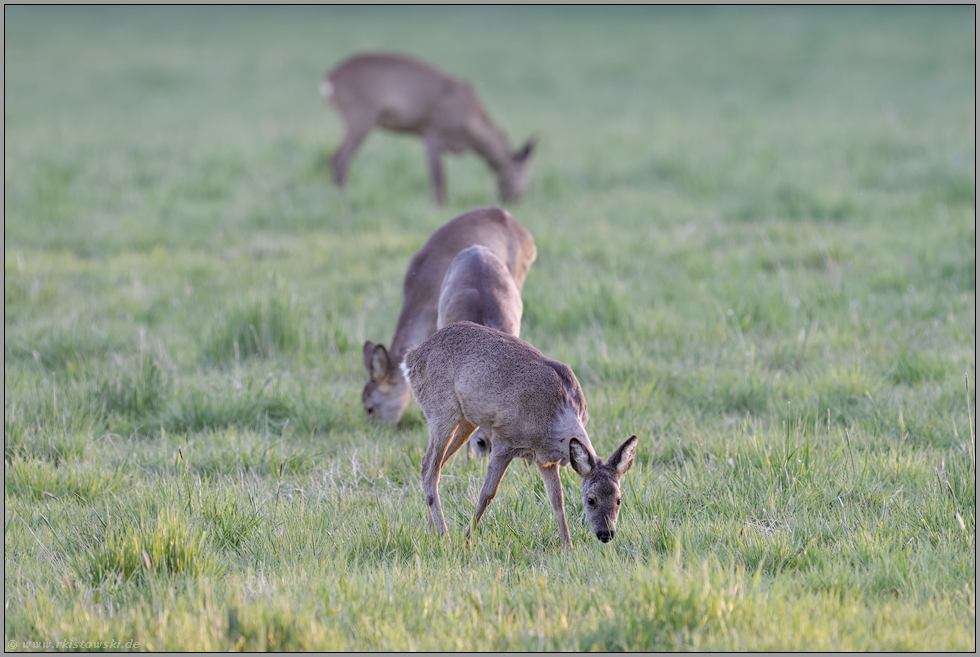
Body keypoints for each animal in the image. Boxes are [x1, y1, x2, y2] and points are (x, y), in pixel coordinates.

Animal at [321, 53, 537, 205]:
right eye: (522, 173)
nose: (517, 200)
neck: (472, 128)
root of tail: (329, 80)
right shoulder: (433, 131)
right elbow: (438, 176)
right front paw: (440, 206)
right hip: (360, 118)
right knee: (338, 158)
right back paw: (344, 196)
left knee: (337, 158)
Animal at [401, 321, 639, 547]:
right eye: (591, 499)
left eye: (619, 499)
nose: (606, 534)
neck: (555, 418)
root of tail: (411, 358)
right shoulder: (503, 441)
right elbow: (487, 494)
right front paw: (466, 540)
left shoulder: (545, 459)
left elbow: (557, 499)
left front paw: (567, 546)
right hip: (442, 410)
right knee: (431, 469)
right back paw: (445, 536)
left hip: (466, 421)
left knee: (428, 465)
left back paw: (433, 531)